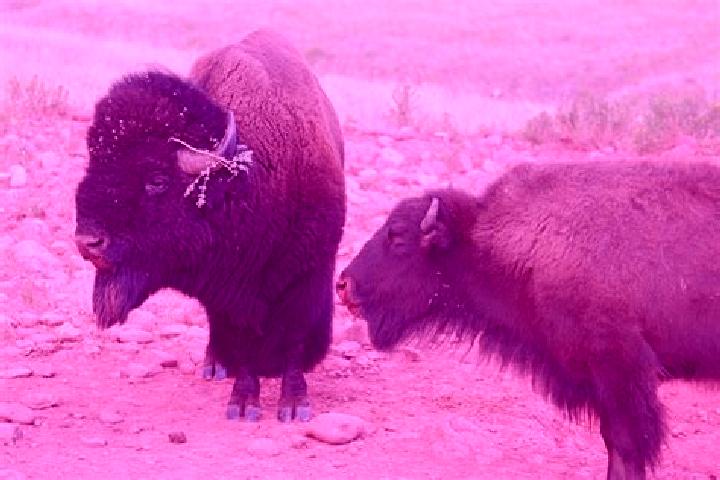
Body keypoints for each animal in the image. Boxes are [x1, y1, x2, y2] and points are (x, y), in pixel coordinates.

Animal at [74, 29, 346, 422]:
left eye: (156, 179)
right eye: (92, 165)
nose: (88, 242)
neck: (244, 181)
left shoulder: (307, 278)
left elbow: (294, 340)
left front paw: (295, 406)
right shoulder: (231, 297)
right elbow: (245, 344)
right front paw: (243, 404)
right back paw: (215, 366)